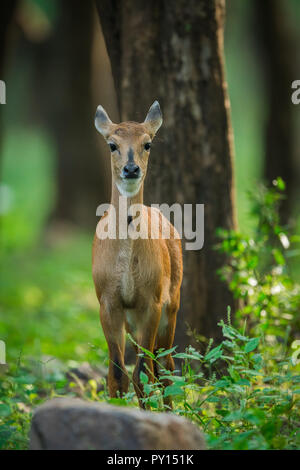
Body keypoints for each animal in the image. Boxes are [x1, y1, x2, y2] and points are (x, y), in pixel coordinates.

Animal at [92, 102, 183, 408]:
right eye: (112, 144)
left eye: (148, 143)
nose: (131, 169)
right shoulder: (108, 301)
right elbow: (117, 375)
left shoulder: (151, 302)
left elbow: (143, 374)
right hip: (132, 322)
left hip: (171, 306)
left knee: (165, 367)